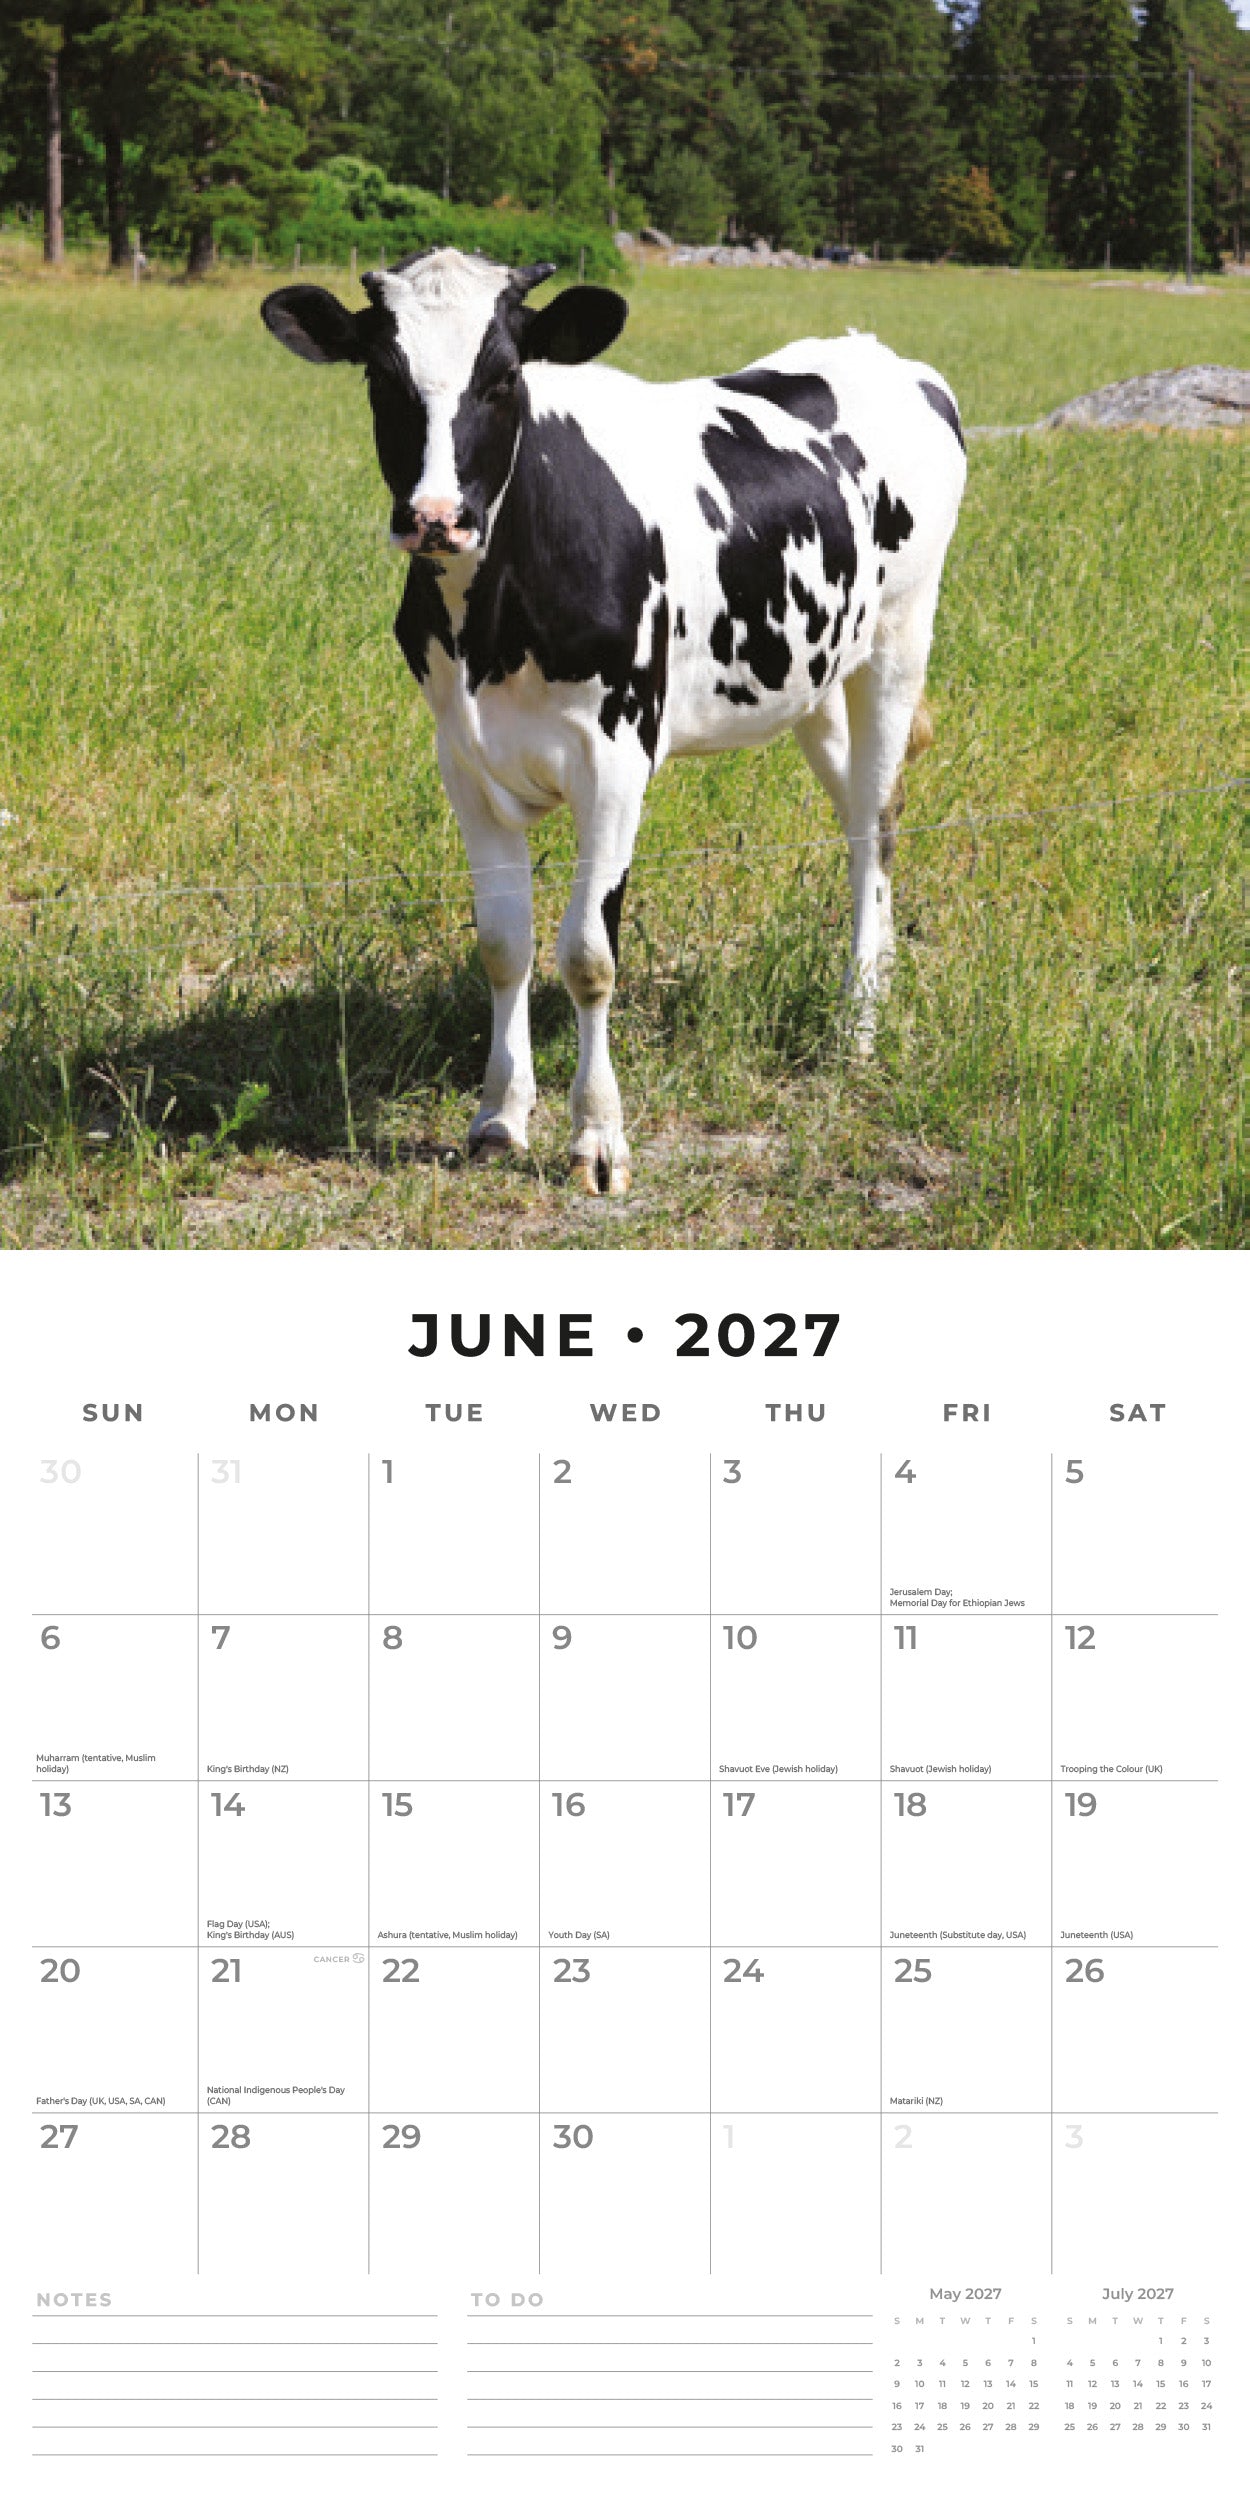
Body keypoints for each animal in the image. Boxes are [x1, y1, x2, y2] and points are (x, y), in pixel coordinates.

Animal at [261, 250, 966, 1193]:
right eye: (382, 375)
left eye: (503, 378)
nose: (437, 517)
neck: (492, 619)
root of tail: (880, 352)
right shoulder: (462, 759)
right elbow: (505, 944)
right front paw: (498, 1116)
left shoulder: (616, 758)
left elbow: (589, 955)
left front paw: (598, 1137)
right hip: (813, 675)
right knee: (857, 808)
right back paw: (875, 982)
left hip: (897, 640)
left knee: (876, 828)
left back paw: (856, 1025)